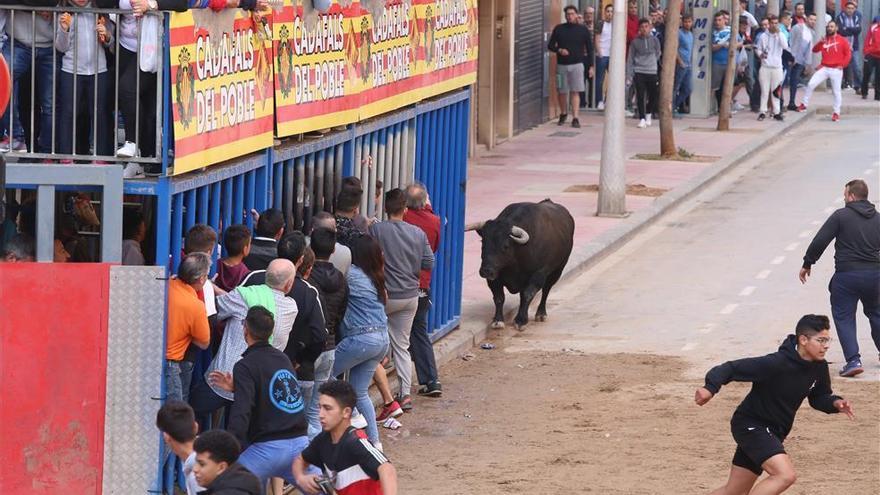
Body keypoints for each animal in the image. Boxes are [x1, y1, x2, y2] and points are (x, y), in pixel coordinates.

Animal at [468, 200, 576, 332]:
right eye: (483, 243)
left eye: (505, 246)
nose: (486, 271)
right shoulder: (494, 278)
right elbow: (499, 297)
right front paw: (498, 321)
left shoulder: (538, 275)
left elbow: (527, 295)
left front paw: (521, 321)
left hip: (557, 271)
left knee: (546, 290)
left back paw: (541, 314)